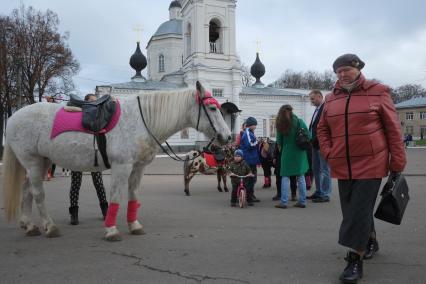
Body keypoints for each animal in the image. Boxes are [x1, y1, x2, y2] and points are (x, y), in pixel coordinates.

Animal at [2, 81, 230, 241]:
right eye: (212, 109)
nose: (227, 137)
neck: (141, 120)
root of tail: (13, 117)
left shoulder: (137, 168)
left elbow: (133, 195)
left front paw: (134, 226)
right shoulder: (122, 167)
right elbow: (115, 197)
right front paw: (111, 230)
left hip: (42, 163)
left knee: (27, 191)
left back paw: (29, 226)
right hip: (32, 162)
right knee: (37, 194)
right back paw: (49, 227)